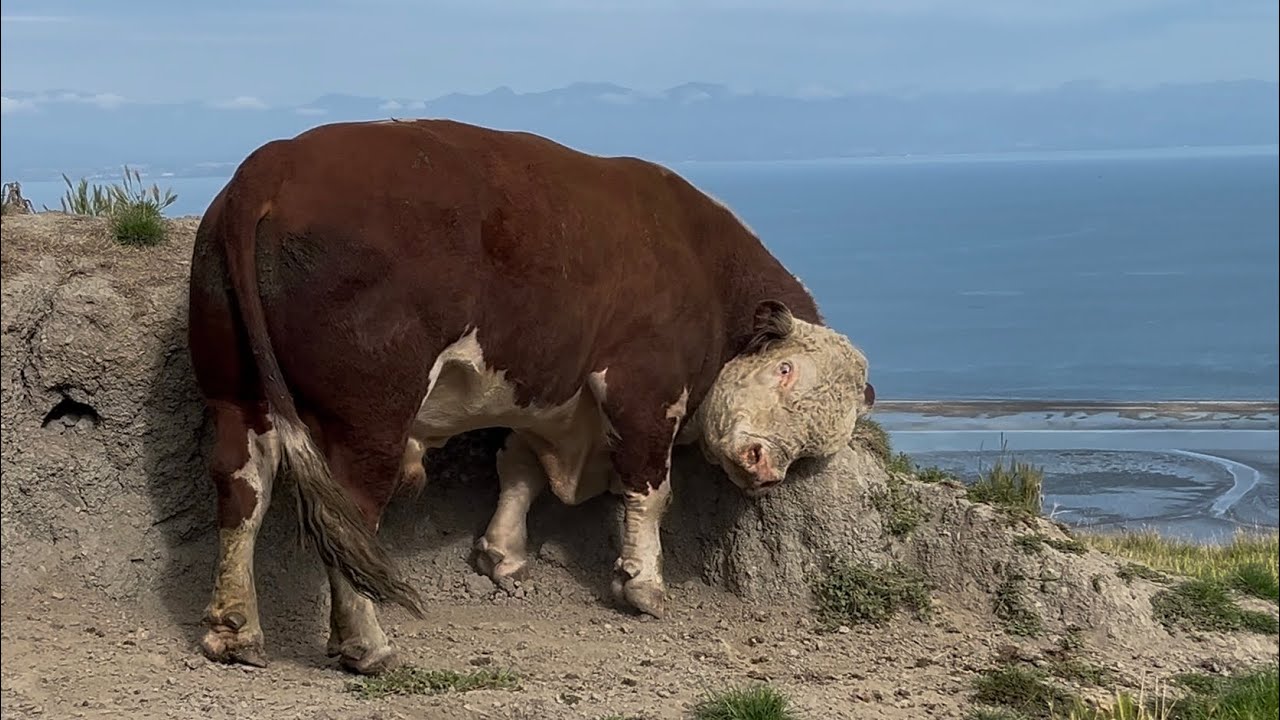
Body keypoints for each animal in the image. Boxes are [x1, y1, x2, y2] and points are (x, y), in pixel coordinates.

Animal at [187, 118, 875, 675]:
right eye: (785, 370)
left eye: (819, 445)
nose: (765, 468)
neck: (702, 265)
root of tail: (274, 162)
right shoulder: (643, 388)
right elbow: (650, 493)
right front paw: (644, 585)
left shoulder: (555, 399)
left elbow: (519, 468)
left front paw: (502, 551)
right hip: (370, 414)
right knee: (349, 510)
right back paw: (366, 644)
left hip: (234, 393)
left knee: (242, 486)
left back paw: (234, 630)